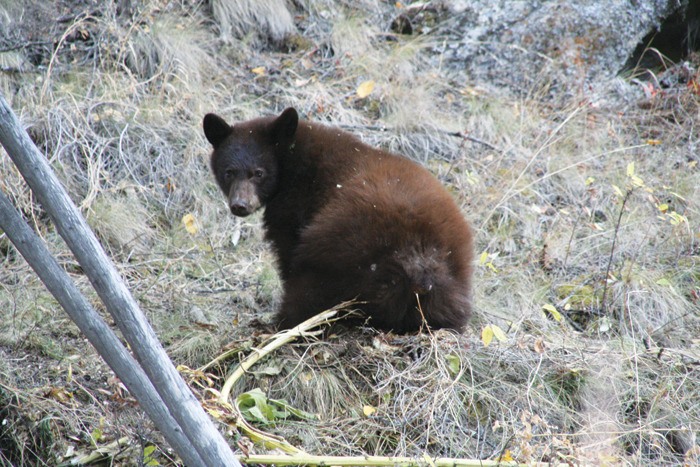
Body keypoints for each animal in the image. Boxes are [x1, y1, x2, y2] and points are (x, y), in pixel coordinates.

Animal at [204, 108, 476, 332]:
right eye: (229, 172)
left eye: (258, 173)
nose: (240, 205)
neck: (291, 158)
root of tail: (421, 258)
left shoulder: (294, 205)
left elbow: (287, 249)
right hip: (452, 283)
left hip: (342, 250)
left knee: (309, 288)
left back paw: (282, 324)